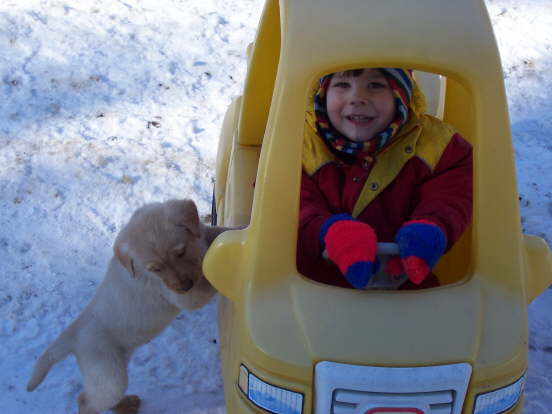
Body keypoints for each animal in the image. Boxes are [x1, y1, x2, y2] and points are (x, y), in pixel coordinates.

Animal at [25, 199, 229, 412]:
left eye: (180, 253)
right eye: (155, 269)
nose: (185, 286)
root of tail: (75, 333)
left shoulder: (203, 234)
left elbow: (217, 234)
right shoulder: (182, 296)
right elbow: (205, 280)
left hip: (116, 365)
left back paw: (126, 404)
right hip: (110, 376)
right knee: (86, 401)